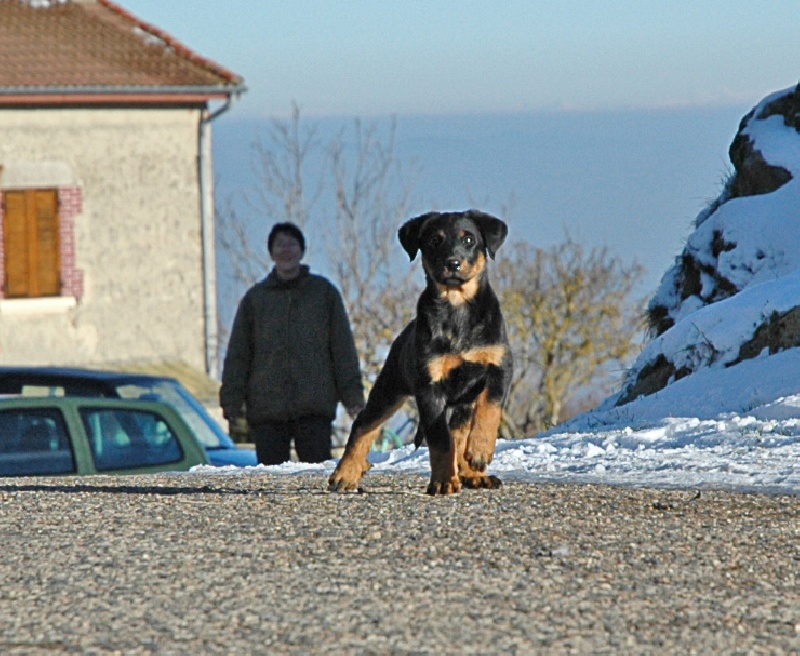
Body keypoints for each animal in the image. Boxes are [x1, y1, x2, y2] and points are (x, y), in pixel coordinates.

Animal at [330, 209, 512, 492]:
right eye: (435, 240)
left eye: (469, 240)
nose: (453, 263)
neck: (457, 306)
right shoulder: (430, 386)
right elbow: (440, 440)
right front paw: (443, 481)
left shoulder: (499, 367)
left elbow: (489, 409)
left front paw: (480, 451)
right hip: (389, 388)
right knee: (364, 424)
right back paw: (345, 473)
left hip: (462, 402)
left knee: (460, 433)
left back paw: (473, 473)